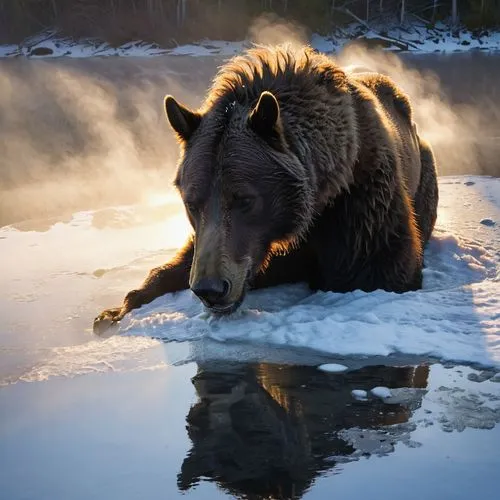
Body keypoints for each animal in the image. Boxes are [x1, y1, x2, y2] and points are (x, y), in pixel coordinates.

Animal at [93, 45, 438, 334]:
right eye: (191, 202)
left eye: (244, 198)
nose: (210, 288)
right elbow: (176, 263)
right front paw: (112, 312)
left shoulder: (359, 203)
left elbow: (377, 269)